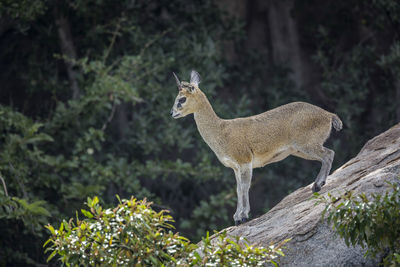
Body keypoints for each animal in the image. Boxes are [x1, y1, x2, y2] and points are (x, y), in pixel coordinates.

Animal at [170, 71, 342, 226]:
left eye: (182, 99)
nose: (172, 113)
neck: (221, 131)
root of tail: (328, 115)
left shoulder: (245, 161)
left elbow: (245, 187)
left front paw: (242, 217)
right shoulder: (235, 167)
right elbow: (238, 189)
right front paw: (236, 217)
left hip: (306, 145)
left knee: (329, 153)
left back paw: (317, 185)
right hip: (300, 150)